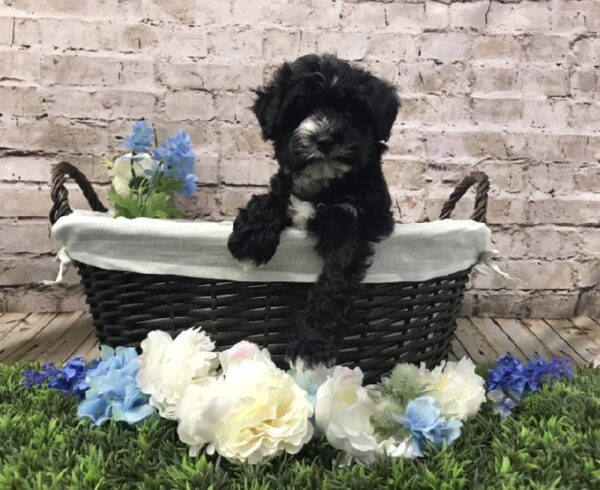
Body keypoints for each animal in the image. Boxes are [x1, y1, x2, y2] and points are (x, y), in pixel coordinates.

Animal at [227, 54, 400, 368]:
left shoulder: (353, 222)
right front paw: (250, 241)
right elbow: (267, 201)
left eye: (350, 112)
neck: (323, 185)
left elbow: (334, 281)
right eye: (300, 111)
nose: (325, 139)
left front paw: (310, 346)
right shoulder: (284, 189)